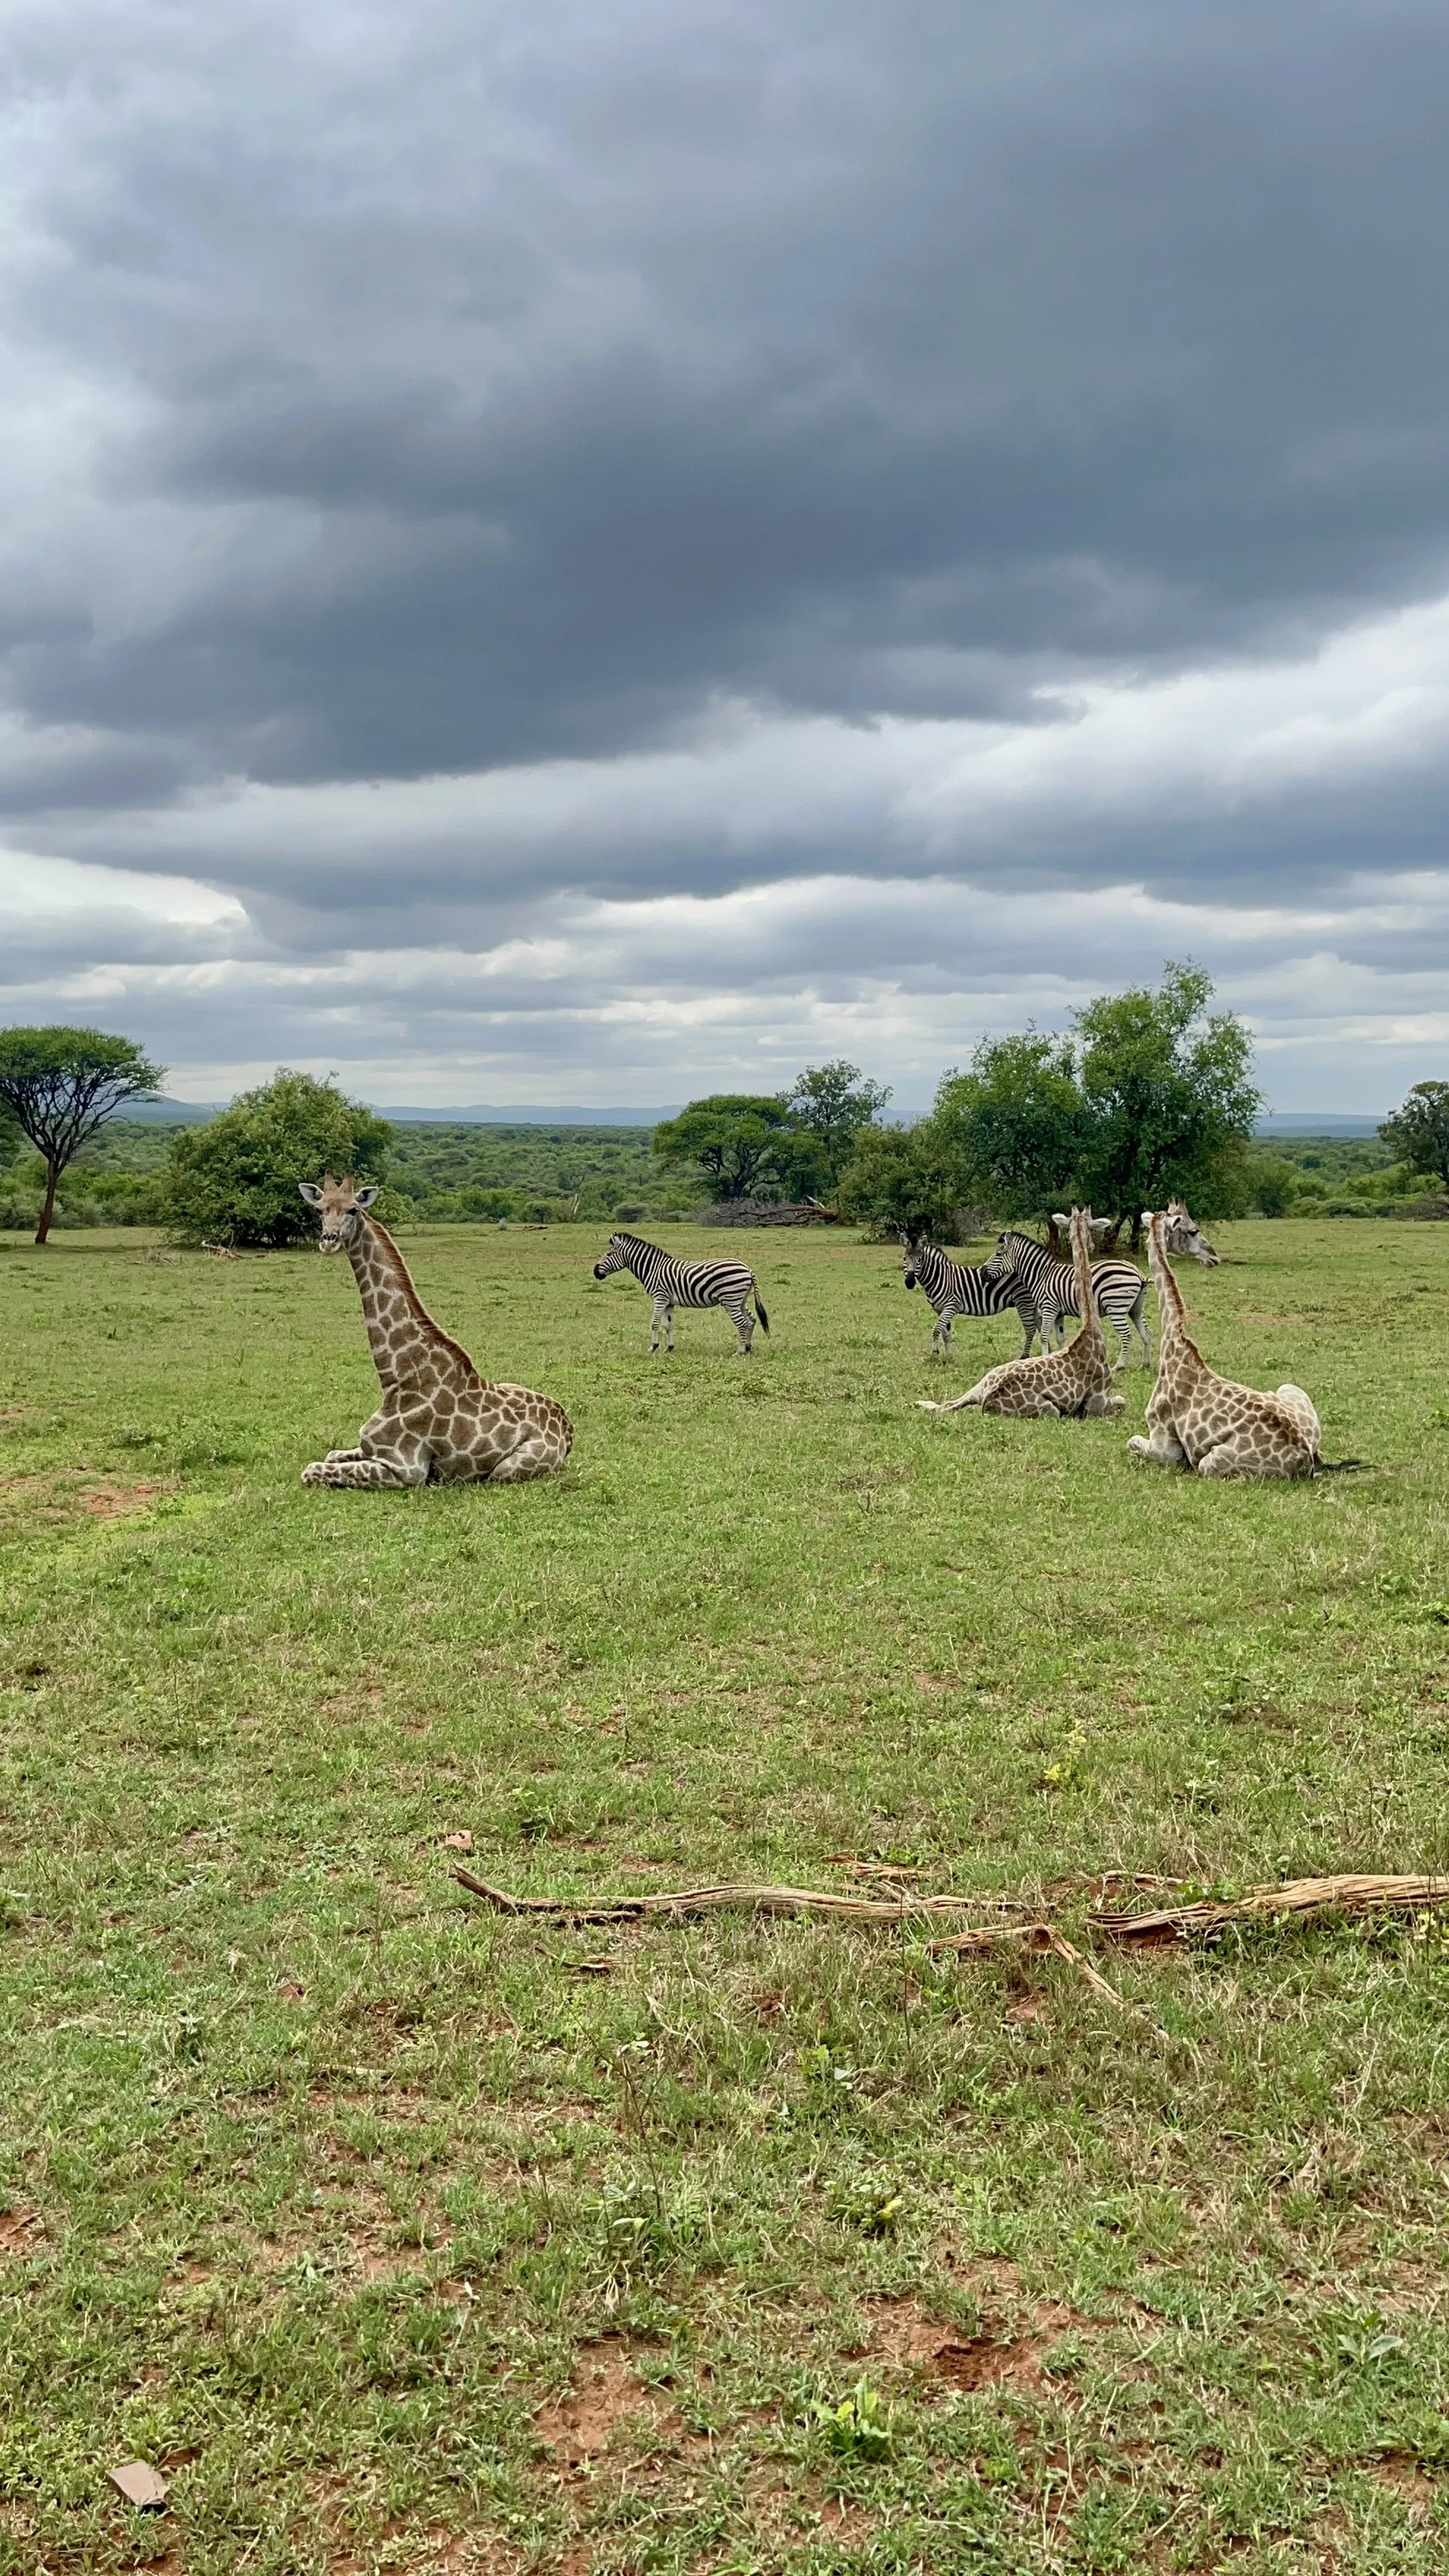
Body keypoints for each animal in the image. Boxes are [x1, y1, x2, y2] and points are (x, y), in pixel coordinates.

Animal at [297, 1175, 572, 1488]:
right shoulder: (370, 1450)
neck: (397, 1375)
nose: (328, 1240)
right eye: (319, 1209)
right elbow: (331, 1454)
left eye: (353, 1209)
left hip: (505, 1470)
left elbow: (310, 1470)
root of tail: (568, 1431)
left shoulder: (405, 1469)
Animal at [592, 1231, 770, 1355]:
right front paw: (669, 1348)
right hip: (740, 1299)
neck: (653, 1269)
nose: (595, 1272)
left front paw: (653, 1347)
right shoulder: (669, 1302)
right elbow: (669, 1325)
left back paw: (739, 1352)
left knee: (742, 1323)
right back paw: (748, 1348)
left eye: (608, 1254)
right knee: (752, 1320)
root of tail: (748, 1269)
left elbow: (654, 1323)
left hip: (730, 1299)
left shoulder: (659, 1297)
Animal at [902, 1236, 1044, 1360]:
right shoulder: (940, 1310)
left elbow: (936, 1329)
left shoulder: (951, 1306)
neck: (940, 1277)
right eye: (904, 1258)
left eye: (919, 1260)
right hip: (1032, 1304)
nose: (909, 1282)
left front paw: (935, 1353)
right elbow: (946, 1334)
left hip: (1023, 1301)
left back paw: (1025, 1357)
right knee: (1040, 1326)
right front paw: (948, 1358)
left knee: (1030, 1329)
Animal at [983, 1229, 1151, 1368]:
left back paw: (1119, 1366)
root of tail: (1137, 1272)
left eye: (998, 1255)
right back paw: (1146, 1364)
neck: (1041, 1275)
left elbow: (1044, 1336)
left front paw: (1045, 1359)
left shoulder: (1049, 1307)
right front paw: (1061, 1358)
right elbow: (1060, 1338)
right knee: (1146, 1332)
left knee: (1126, 1335)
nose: (983, 1273)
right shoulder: (1059, 1313)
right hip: (1135, 1308)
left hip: (1116, 1306)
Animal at [1127, 1208, 1319, 1478]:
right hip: (1288, 1391)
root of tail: (1305, 1459)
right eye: (1193, 1230)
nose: (1213, 1257)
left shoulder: (1164, 1445)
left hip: (1209, 1463)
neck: (1174, 1343)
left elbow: (1131, 1441)